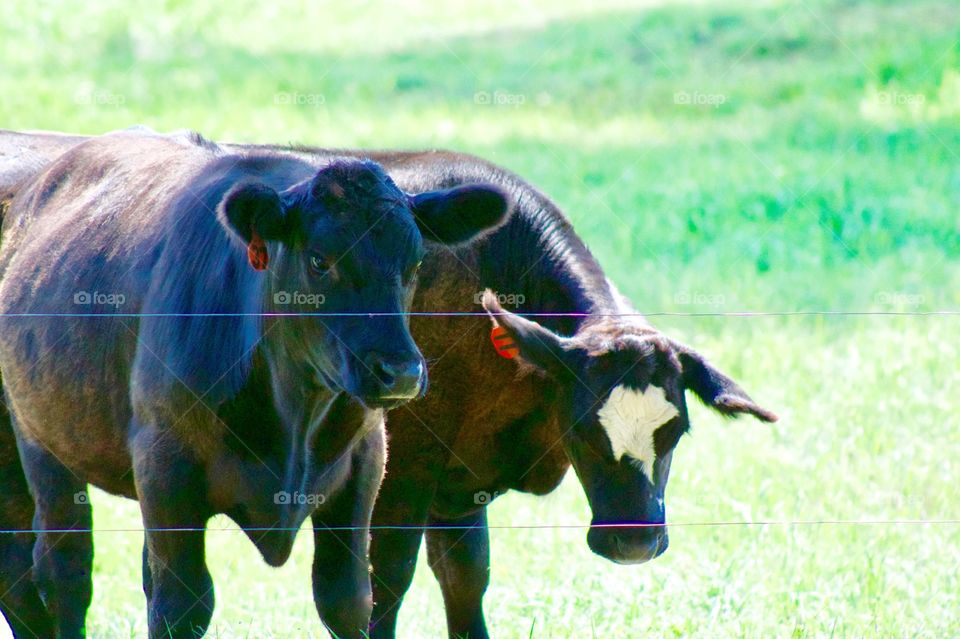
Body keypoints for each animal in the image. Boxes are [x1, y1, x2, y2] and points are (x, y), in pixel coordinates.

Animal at [0, 130, 510, 639]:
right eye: (319, 260)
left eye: (417, 262)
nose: (400, 372)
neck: (294, 412)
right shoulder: (164, 464)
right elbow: (181, 603)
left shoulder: (366, 460)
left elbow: (347, 597)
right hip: (40, 440)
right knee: (64, 569)